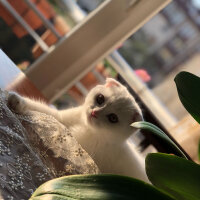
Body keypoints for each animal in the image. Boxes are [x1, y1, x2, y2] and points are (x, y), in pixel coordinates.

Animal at [7, 78, 148, 183]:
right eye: (100, 98)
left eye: (113, 118)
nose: (94, 112)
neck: (86, 127)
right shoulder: (61, 118)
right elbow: (45, 112)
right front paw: (17, 101)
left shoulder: (79, 148)